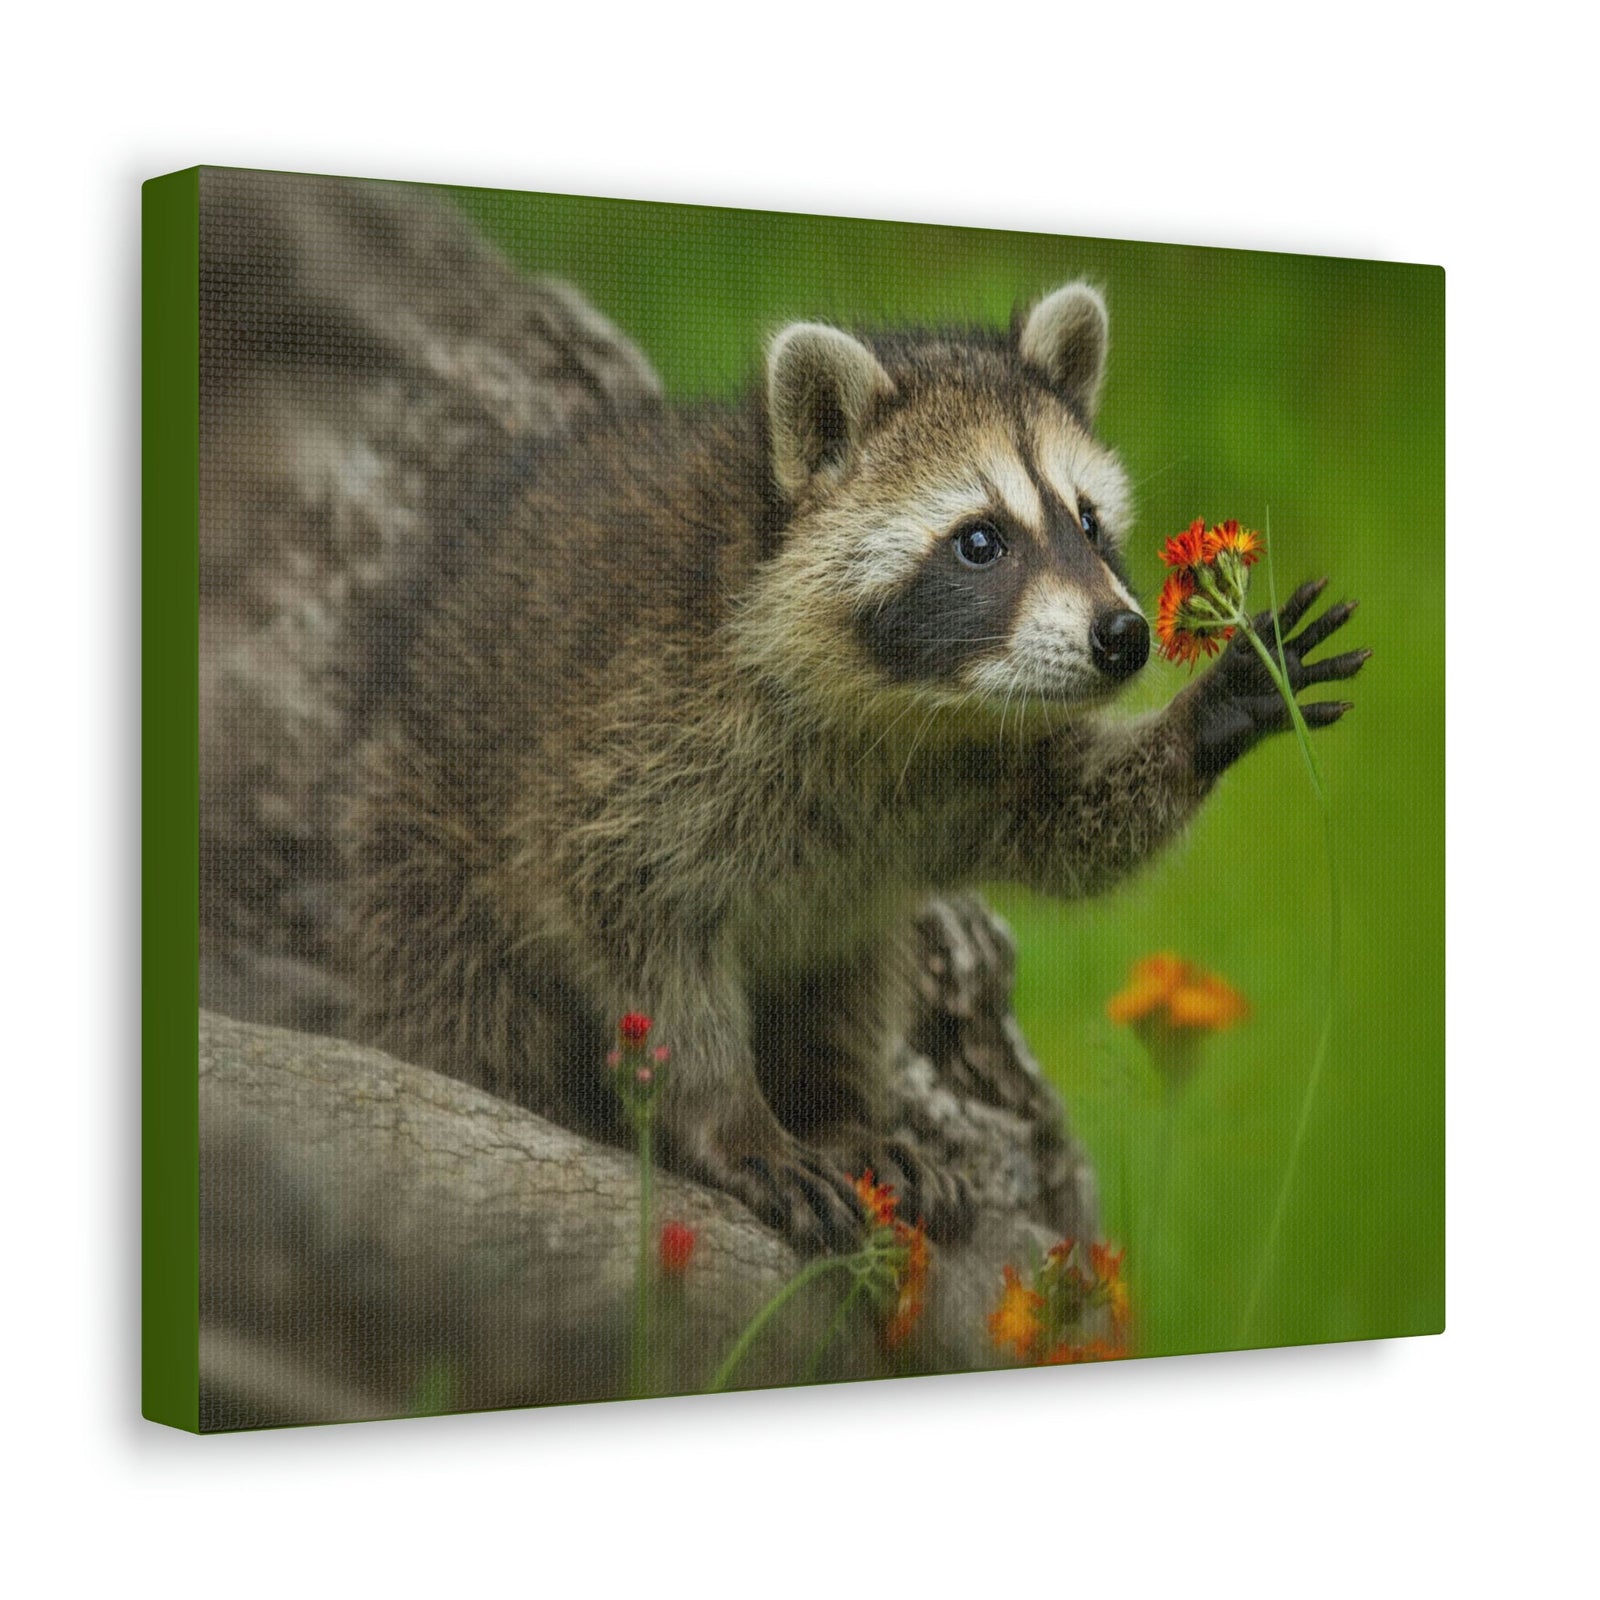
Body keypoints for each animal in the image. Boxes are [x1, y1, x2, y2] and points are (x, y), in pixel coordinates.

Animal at [342, 282, 1367, 1252]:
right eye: (980, 540)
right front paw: (730, 1117)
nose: (1123, 638)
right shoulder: (632, 739)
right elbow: (640, 934)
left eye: (1087, 522)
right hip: (415, 853)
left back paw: (837, 1109)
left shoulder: (964, 767)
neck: (902, 706)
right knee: (468, 1006)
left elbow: (1066, 822)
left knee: (850, 972)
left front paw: (1212, 712)